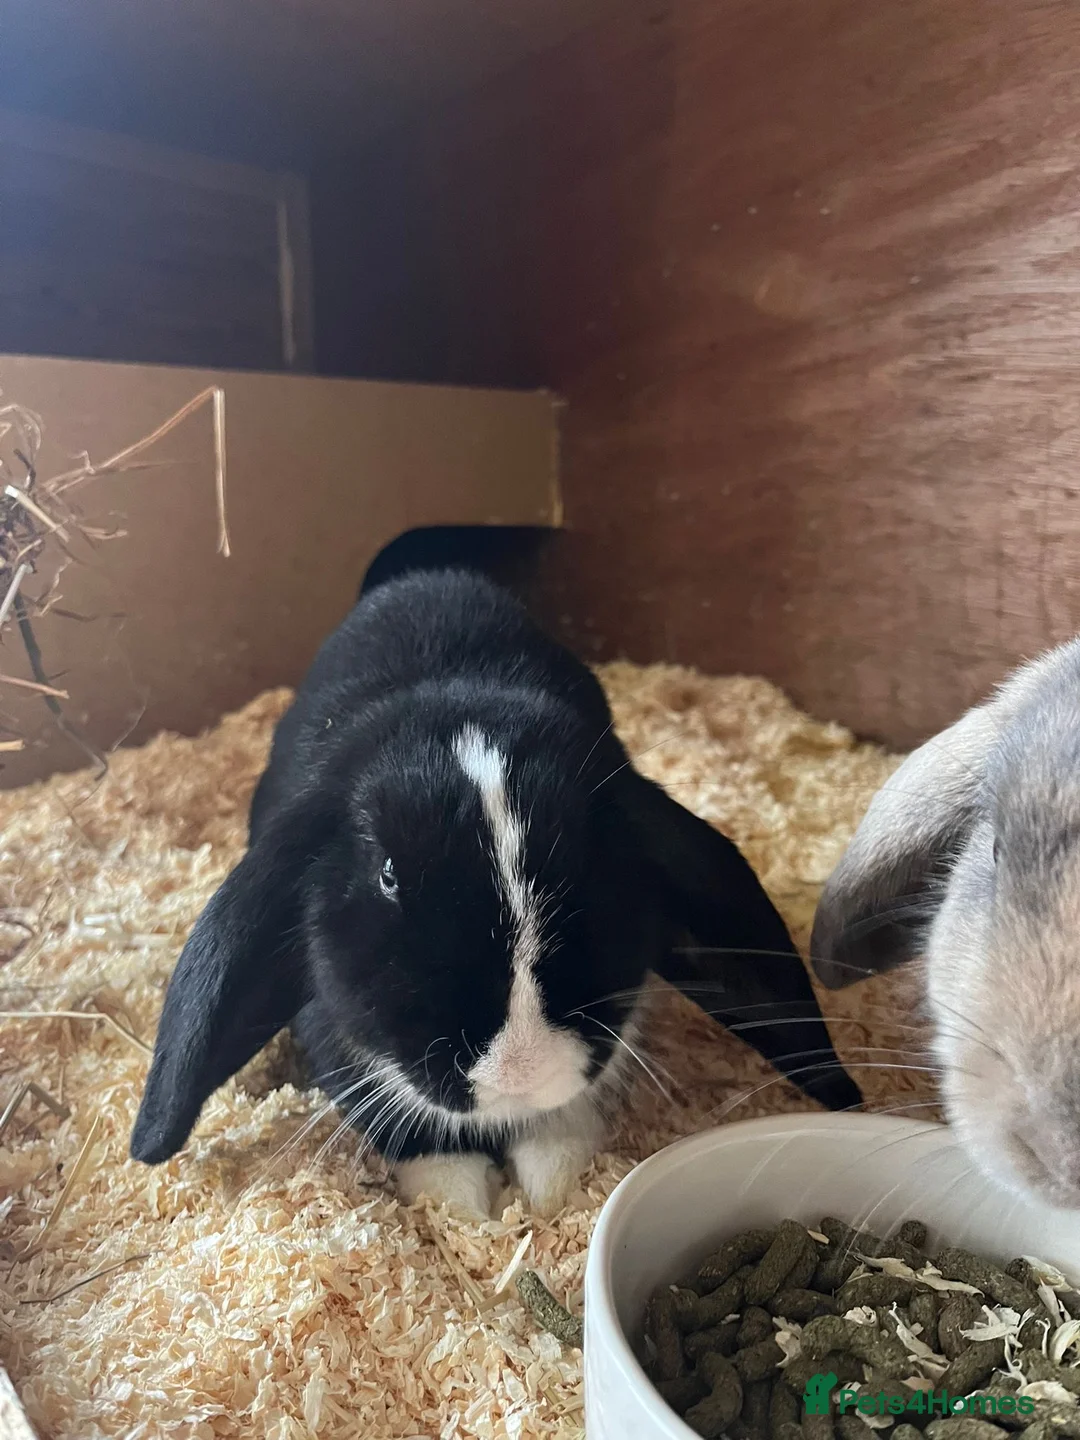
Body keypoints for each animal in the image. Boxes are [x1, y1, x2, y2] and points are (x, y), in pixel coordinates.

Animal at [130, 568, 860, 1217]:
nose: (519, 1074)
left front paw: (548, 1194)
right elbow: (419, 1139)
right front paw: (464, 1209)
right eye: (388, 874)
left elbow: (560, 1131)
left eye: (595, 858)